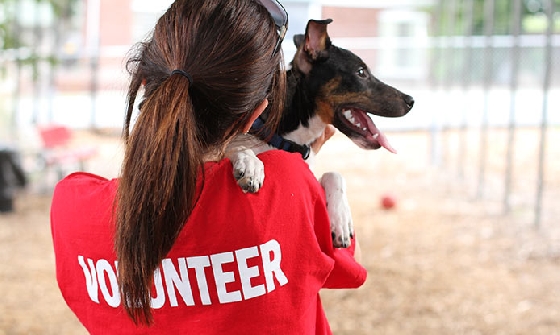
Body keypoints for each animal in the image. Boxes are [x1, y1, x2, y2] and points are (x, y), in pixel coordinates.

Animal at [225, 19, 414, 249]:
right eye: (361, 72)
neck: (293, 136)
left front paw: (341, 220)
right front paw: (251, 165)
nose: (411, 100)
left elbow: (334, 175)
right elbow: (239, 146)